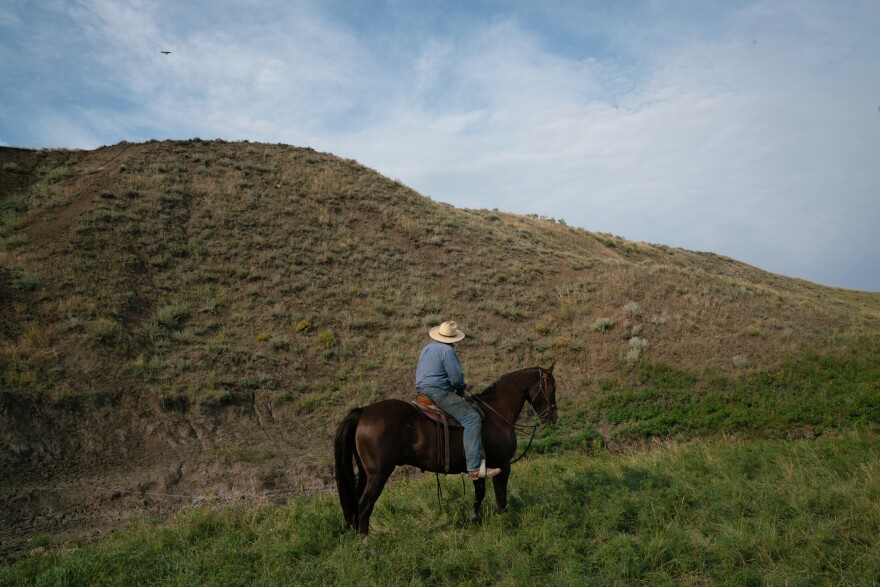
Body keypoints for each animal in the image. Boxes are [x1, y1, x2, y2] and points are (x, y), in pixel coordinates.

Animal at [330, 368, 556, 536]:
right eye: (552, 387)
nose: (552, 416)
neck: (496, 412)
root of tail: (362, 411)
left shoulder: (479, 467)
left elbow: (480, 492)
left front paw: (474, 519)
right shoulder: (502, 464)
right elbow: (501, 495)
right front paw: (505, 521)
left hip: (365, 473)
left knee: (356, 503)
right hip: (379, 474)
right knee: (364, 504)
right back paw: (367, 545)